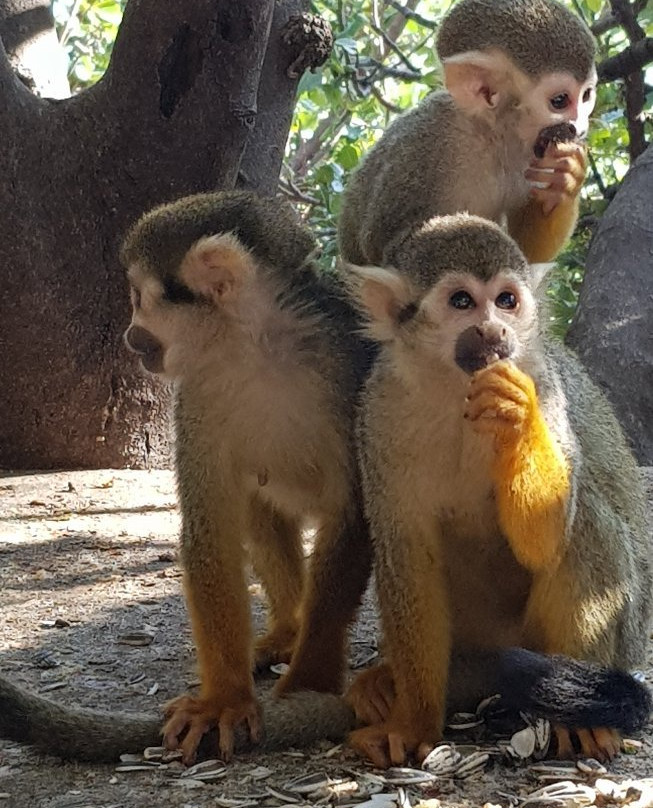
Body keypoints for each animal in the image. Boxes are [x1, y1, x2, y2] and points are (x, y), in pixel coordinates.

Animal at [121, 190, 373, 764]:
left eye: (140, 299)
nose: (130, 337)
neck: (258, 347)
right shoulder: (197, 392)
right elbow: (210, 528)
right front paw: (225, 699)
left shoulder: (349, 370)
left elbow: (355, 514)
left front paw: (308, 684)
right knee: (259, 508)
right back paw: (287, 630)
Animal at [338, 0, 597, 267]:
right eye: (560, 101)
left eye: (586, 96)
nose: (579, 128)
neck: (493, 134)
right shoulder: (423, 146)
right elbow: (377, 244)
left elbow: (529, 254)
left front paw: (566, 178)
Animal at [343, 213, 651, 768]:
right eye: (462, 301)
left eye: (506, 300)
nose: (493, 329)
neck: (456, 388)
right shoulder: (379, 407)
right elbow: (408, 555)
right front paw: (412, 721)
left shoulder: (543, 383)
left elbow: (546, 537)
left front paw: (517, 417)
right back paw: (387, 685)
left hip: (617, 633)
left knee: (583, 526)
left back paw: (579, 713)